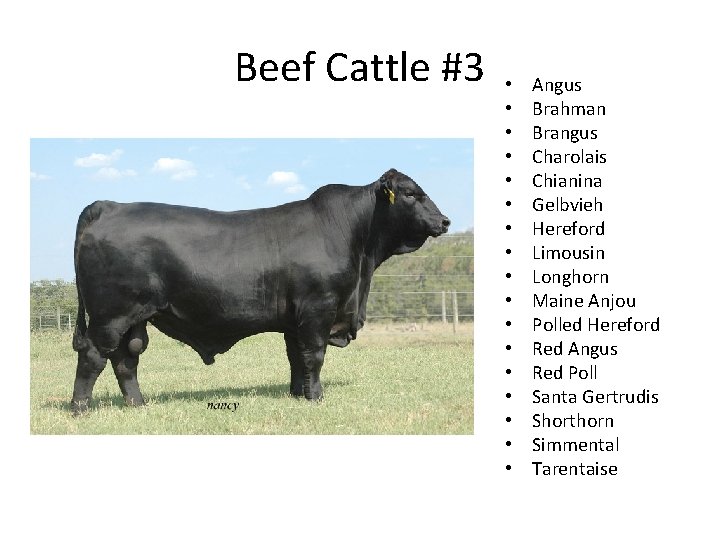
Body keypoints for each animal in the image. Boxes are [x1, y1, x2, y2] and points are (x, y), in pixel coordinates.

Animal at [70, 168, 450, 414]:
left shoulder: (295, 319)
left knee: (126, 359)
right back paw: (79, 407)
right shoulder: (318, 308)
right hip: (110, 314)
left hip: (132, 318)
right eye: (412, 194)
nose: (445, 221)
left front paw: (298, 394)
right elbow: (314, 355)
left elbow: (296, 357)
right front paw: (316, 397)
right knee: (93, 355)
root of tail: (108, 205)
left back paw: (138, 404)